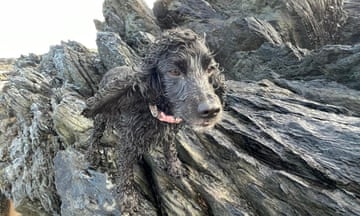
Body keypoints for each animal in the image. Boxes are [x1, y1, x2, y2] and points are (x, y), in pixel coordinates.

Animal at [84, 27, 225, 213]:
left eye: (210, 68)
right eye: (174, 71)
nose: (212, 110)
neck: (155, 112)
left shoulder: (169, 132)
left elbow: (170, 149)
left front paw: (174, 167)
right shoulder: (128, 144)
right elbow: (126, 170)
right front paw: (128, 197)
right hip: (101, 117)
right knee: (96, 134)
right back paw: (92, 152)